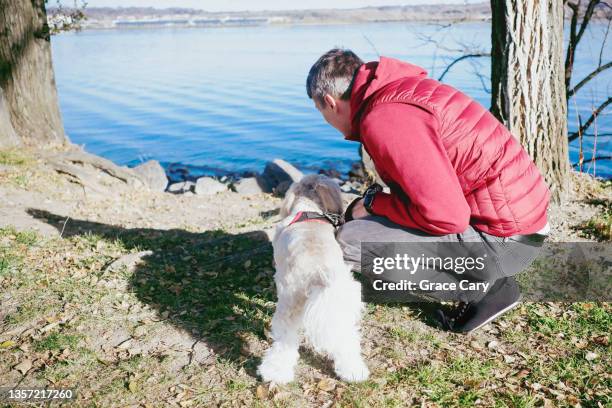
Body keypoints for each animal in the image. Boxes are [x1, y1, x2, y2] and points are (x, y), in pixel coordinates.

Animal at [258, 175, 368, 382]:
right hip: (340, 307)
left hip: (290, 303)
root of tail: (318, 274)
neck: (308, 209)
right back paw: (353, 371)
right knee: (347, 339)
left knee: (285, 341)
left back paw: (274, 372)